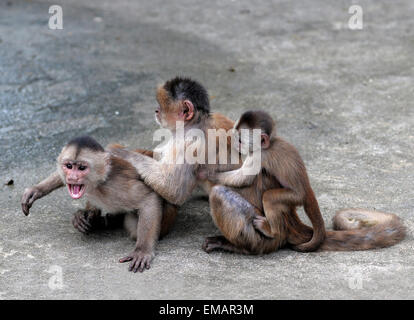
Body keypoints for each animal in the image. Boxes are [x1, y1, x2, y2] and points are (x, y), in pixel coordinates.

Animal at [21, 136, 176, 274]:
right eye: (69, 166)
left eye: (82, 168)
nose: (72, 178)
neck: (97, 183)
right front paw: (37, 189)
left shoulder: (117, 185)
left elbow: (149, 198)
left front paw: (142, 251)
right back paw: (91, 218)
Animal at [202, 111, 406, 254]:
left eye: (240, 139)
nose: (234, 141)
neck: (270, 144)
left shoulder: (260, 155)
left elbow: (243, 177)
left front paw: (209, 174)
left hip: (288, 202)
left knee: (233, 195)